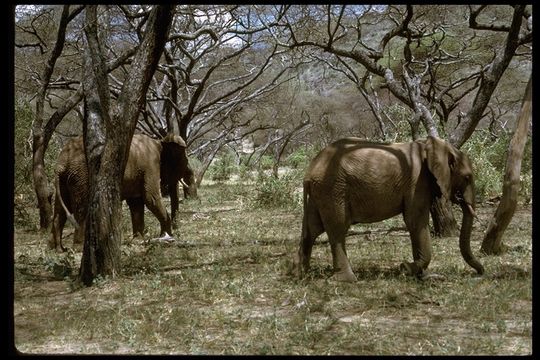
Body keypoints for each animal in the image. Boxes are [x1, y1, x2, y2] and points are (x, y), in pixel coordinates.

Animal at [49, 131, 197, 252]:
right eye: (183, 160)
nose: (174, 233)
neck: (160, 141)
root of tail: (60, 163)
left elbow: (136, 204)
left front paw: (138, 240)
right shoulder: (150, 165)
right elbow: (151, 198)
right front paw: (166, 236)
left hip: (67, 179)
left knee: (60, 211)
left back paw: (58, 249)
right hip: (81, 176)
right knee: (82, 208)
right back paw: (78, 249)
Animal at [294, 135, 488, 282]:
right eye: (467, 177)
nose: (480, 272)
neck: (431, 147)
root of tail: (309, 171)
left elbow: (415, 224)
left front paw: (420, 275)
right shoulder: (417, 183)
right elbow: (415, 221)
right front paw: (406, 268)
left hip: (321, 192)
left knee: (312, 228)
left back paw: (301, 274)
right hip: (333, 189)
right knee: (337, 229)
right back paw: (347, 280)